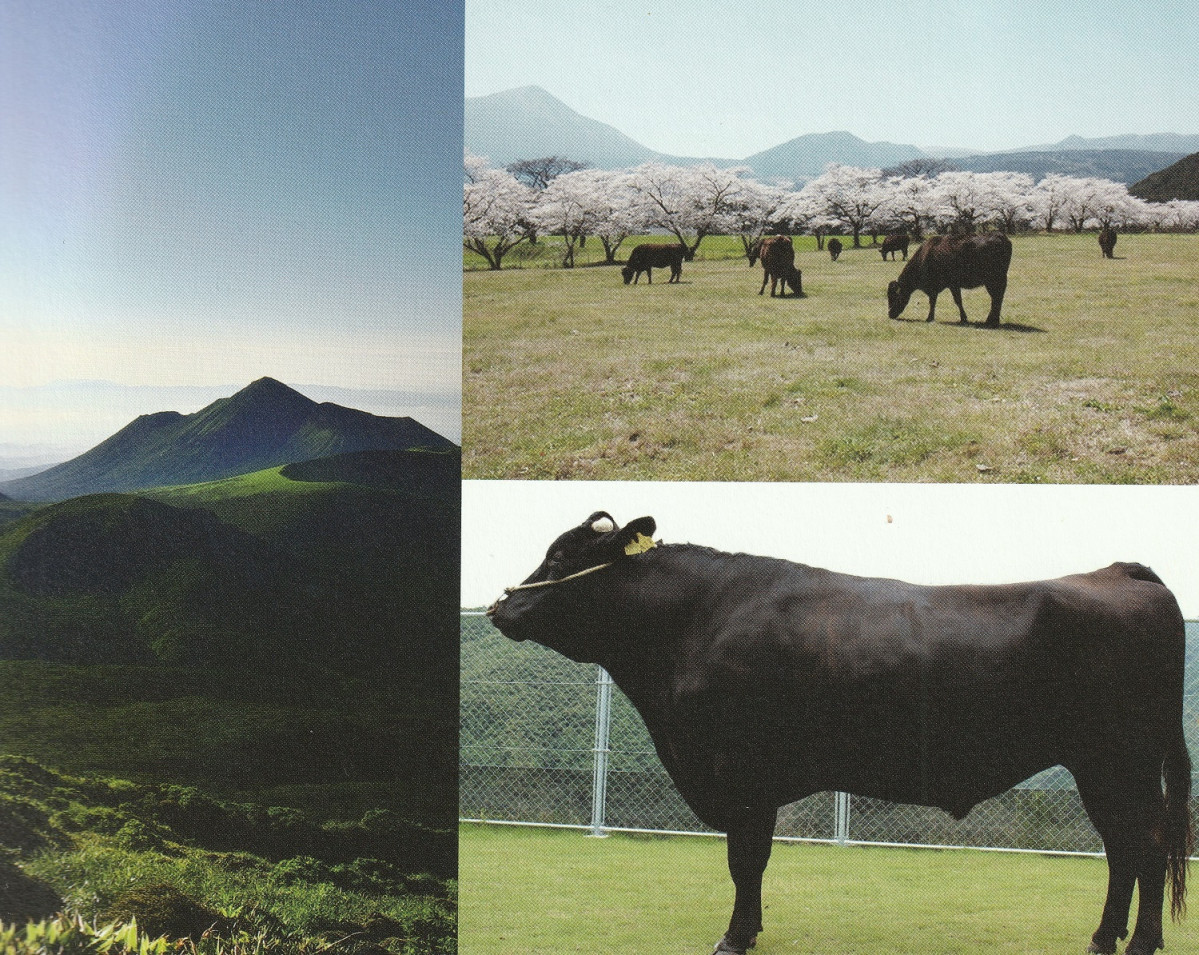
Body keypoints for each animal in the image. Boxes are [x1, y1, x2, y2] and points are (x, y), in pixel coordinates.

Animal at [486, 511, 1189, 955]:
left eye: (563, 555)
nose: (500, 606)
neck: (696, 622)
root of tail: (1117, 571)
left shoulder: (744, 772)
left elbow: (745, 860)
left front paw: (734, 937)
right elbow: (752, 862)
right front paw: (751, 929)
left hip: (1119, 759)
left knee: (1146, 847)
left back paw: (1139, 944)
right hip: (1103, 766)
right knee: (1124, 850)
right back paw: (1106, 939)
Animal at [882, 235, 1011, 328]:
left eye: (894, 296)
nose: (890, 314)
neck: (924, 258)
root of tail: (1001, 237)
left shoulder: (947, 285)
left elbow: (947, 301)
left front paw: (930, 318)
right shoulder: (947, 286)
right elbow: (946, 301)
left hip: (994, 280)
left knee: (996, 298)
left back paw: (992, 322)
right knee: (997, 298)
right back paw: (992, 321)